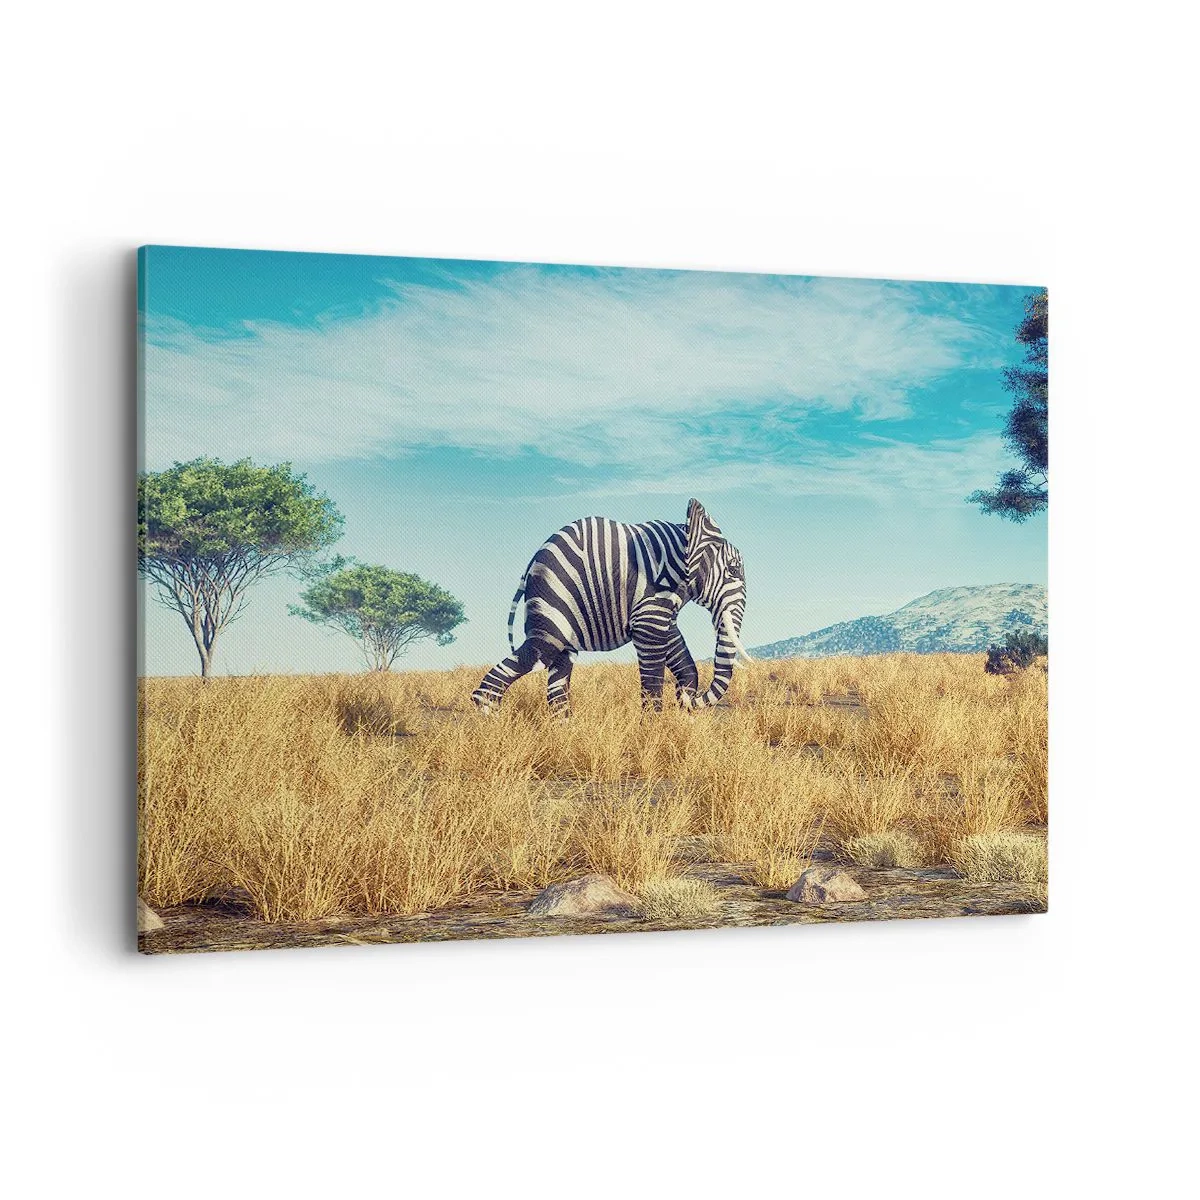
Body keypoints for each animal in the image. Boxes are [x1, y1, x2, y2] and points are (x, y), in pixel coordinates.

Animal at [472, 499, 753, 714]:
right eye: (733, 570)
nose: (689, 702)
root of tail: (530, 564)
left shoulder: (662, 608)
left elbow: (683, 660)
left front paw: (682, 709)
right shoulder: (650, 602)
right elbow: (653, 674)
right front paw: (653, 734)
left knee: (559, 676)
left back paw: (566, 736)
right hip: (553, 602)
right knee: (537, 654)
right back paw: (493, 728)